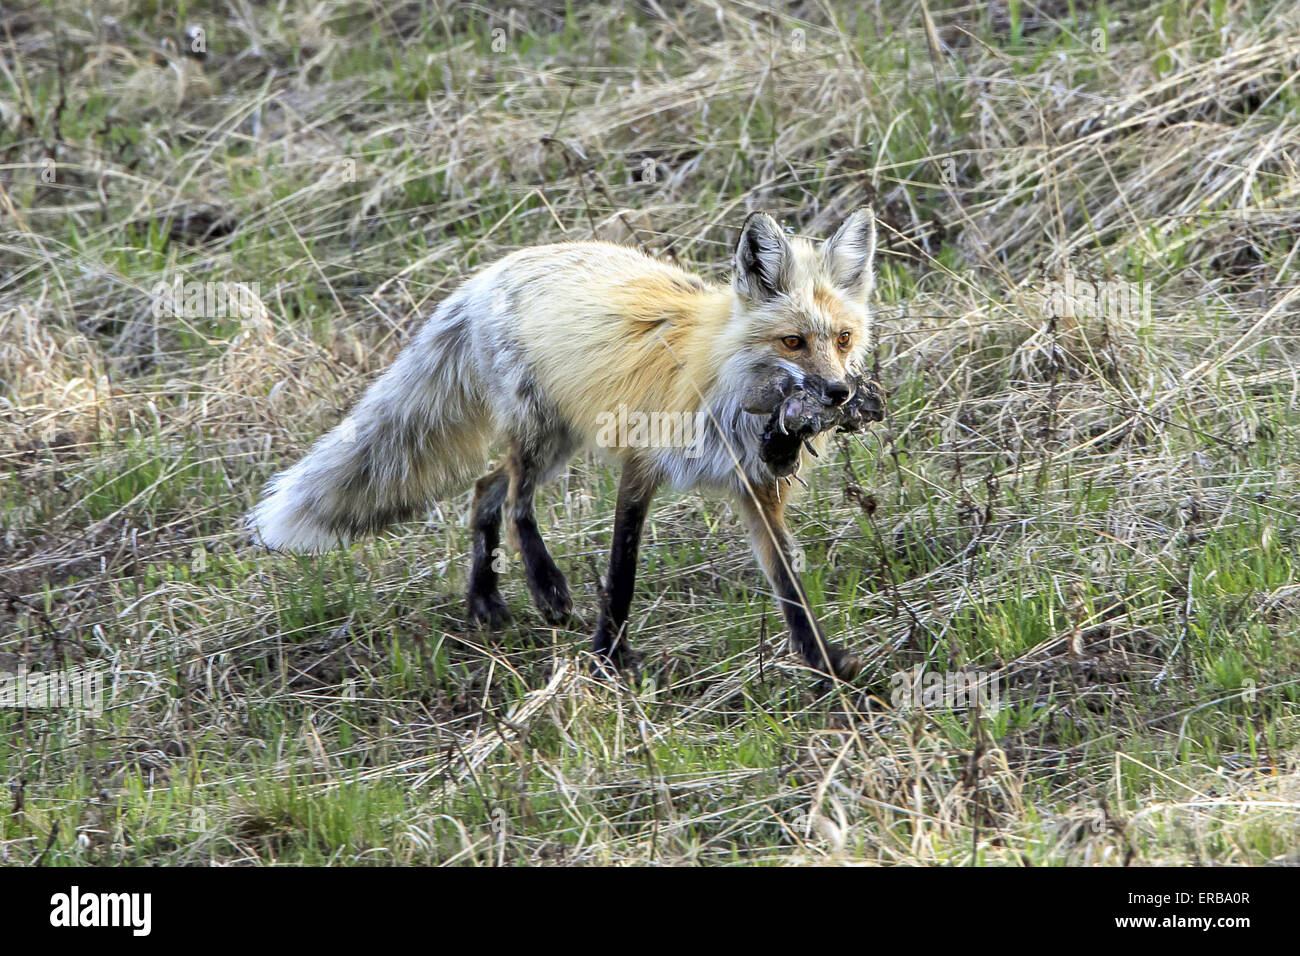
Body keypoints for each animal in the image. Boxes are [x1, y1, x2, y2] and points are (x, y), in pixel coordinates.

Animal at [247, 208, 885, 681]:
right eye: (793, 341)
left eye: (843, 338)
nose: (838, 393)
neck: (729, 392)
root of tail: (487, 274)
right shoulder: (641, 463)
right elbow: (622, 570)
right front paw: (609, 657)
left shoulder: (757, 490)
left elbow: (789, 588)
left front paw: (825, 664)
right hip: (540, 435)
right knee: (514, 502)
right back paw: (545, 588)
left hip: (560, 441)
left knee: (484, 489)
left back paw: (485, 601)